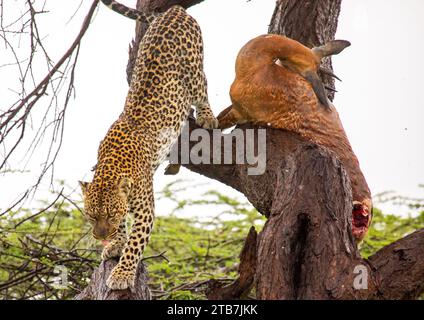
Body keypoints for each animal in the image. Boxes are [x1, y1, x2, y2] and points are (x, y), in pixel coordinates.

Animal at [80, 0, 219, 290]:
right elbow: (126, 229)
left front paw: (122, 274)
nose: (100, 236)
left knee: (203, 90)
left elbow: (135, 245)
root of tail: (174, 10)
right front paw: (116, 244)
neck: (111, 163)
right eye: (91, 215)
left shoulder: (145, 212)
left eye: (109, 215)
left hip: (195, 70)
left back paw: (208, 117)